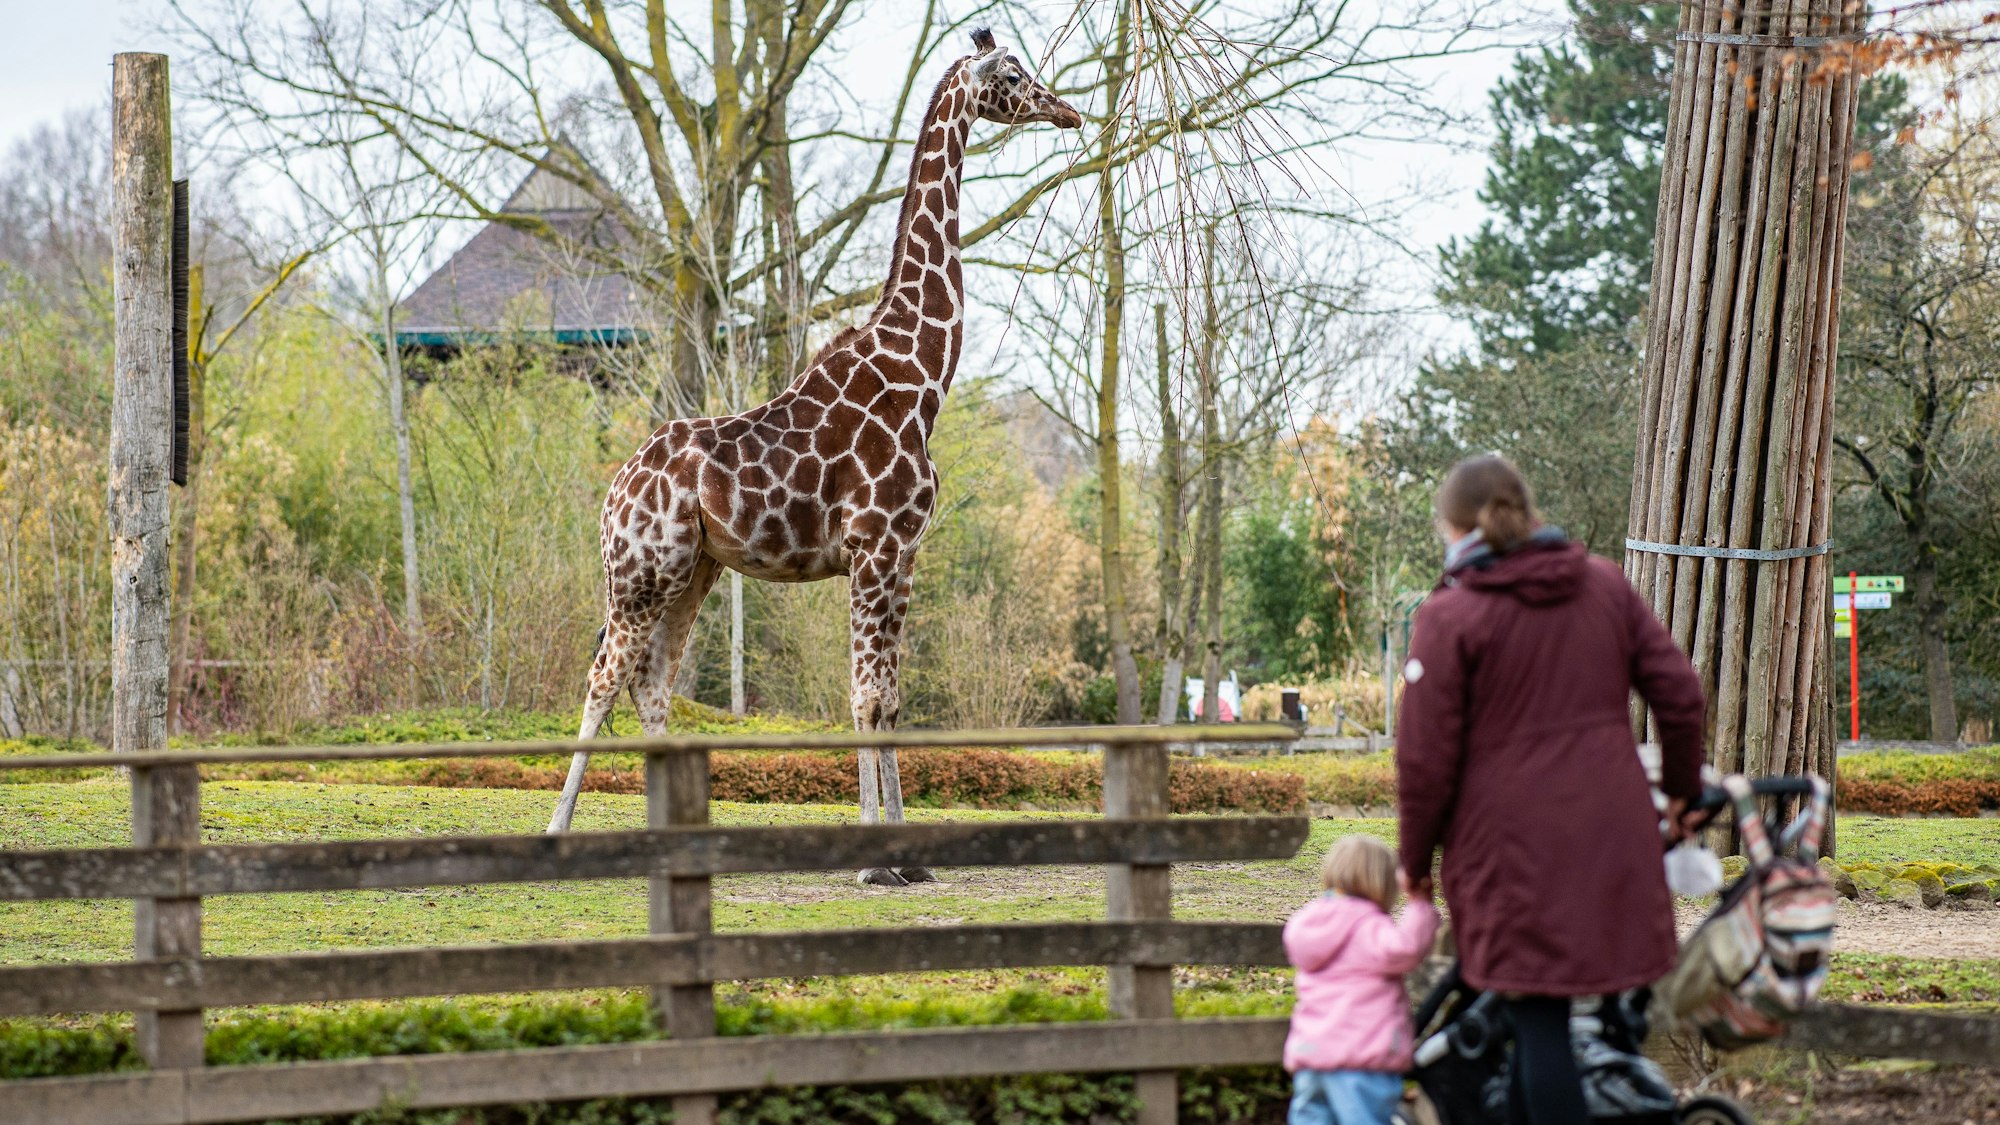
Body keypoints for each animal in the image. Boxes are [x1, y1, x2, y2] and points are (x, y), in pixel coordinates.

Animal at [544, 30, 1081, 886]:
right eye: (1013, 74)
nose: (1066, 110)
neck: (924, 372)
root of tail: (614, 487)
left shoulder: (903, 554)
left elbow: (890, 697)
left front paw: (909, 859)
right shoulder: (875, 546)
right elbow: (864, 697)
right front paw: (870, 860)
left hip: (695, 570)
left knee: (652, 682)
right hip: (639, 570)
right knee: (603, 678)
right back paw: (558, 829)